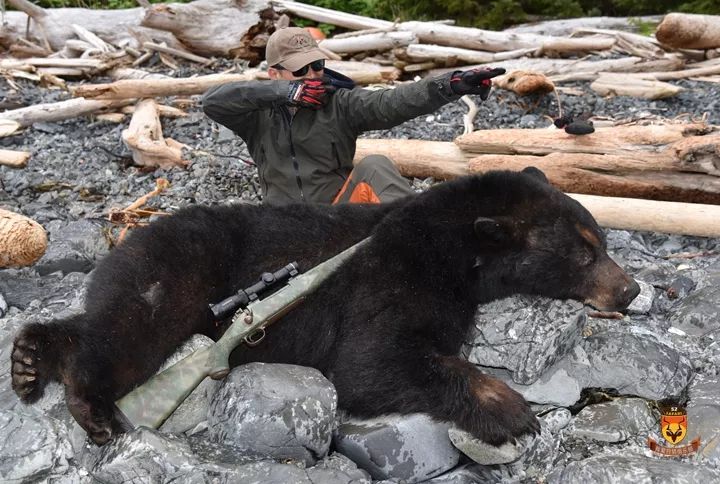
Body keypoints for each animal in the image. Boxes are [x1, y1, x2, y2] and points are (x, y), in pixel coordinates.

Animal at [11, 167, 640, 446]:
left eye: (603, 241)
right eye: (584, 254)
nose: (630, 290)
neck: (449, 243)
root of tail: (126, 236)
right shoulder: (396, 268)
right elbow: (372, 360)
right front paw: (511, 411)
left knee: (100, 318)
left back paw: (27, 361)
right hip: (176, 271)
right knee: (132, 334)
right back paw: (92, 409)